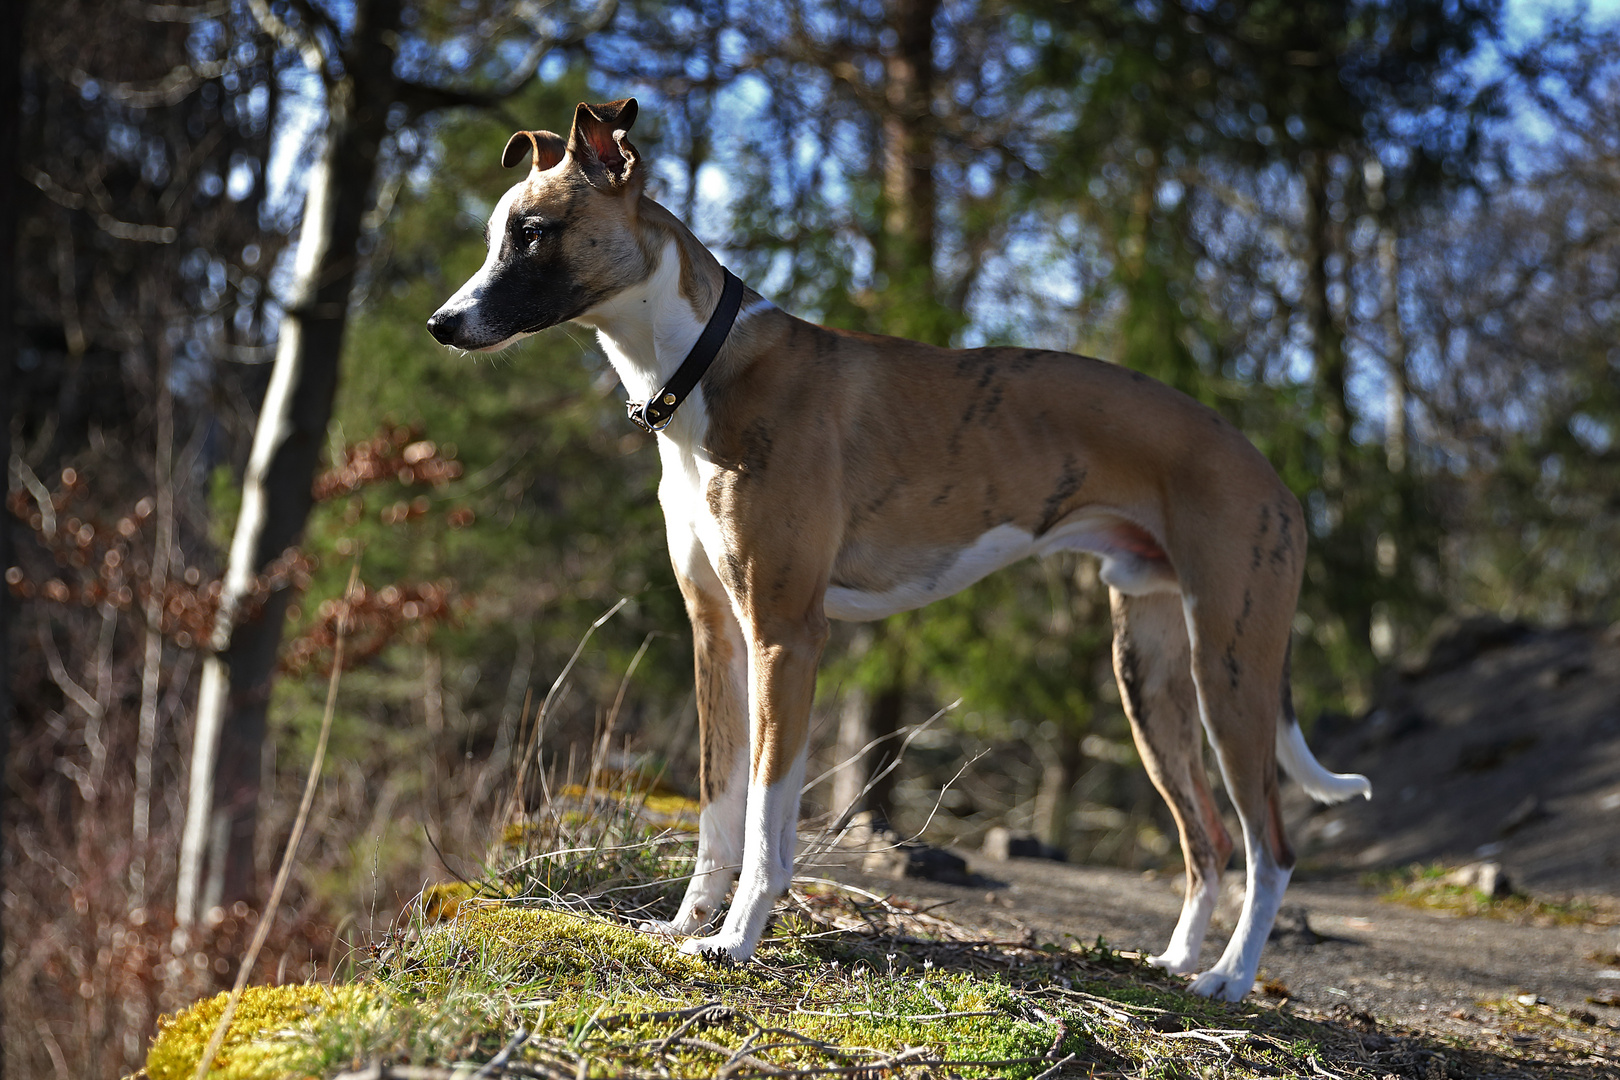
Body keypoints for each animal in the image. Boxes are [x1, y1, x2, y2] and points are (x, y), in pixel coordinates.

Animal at [427, 97, 1367, 1003]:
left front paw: (736, 939)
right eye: (501, 232)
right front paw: (686, 925)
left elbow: (766, 819)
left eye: (533, 232)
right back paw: (1177, 961)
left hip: (1230, 669)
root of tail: (1274, 477)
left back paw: (1232, 980)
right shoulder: (717, 635)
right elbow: (719, 802)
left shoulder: (786, 636)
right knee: (1206, 837)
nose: (440, 324)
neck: (702, 367)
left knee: (1269, 843)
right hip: (1151, 674)